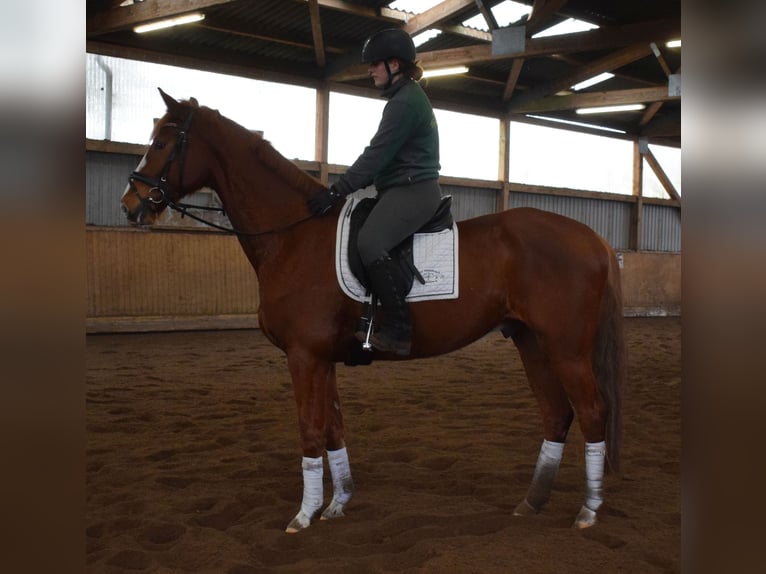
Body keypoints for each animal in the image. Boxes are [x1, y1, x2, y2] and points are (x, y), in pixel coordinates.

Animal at [120, 90, 624, 536]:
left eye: (162, 143)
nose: (130, 205)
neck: (295, 236)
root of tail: (594, 239)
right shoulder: (321, 358)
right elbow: (334, 429)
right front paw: (337, 503)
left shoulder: (304, 356)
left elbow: (310, 430)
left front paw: (303, 516)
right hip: (531, 341)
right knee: (557, 414)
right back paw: (531, 503)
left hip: (567, 349)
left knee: (592, 411)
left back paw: (588, 511)